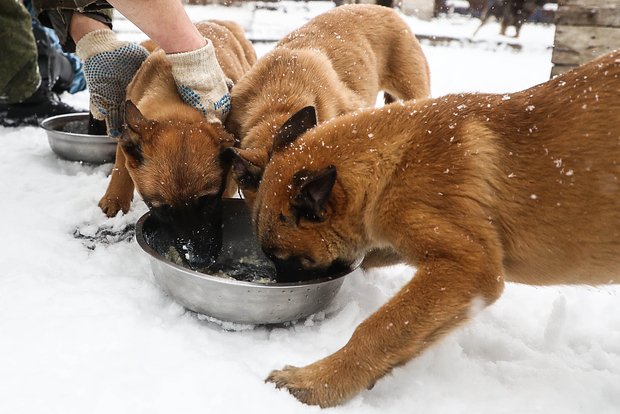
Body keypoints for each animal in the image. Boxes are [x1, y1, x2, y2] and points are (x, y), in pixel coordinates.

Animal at [248, 50, 620, 406]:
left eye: (283, 257)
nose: (279, 289)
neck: (393, 162)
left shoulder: (467, 267)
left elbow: (380, 328)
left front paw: (317, 382)